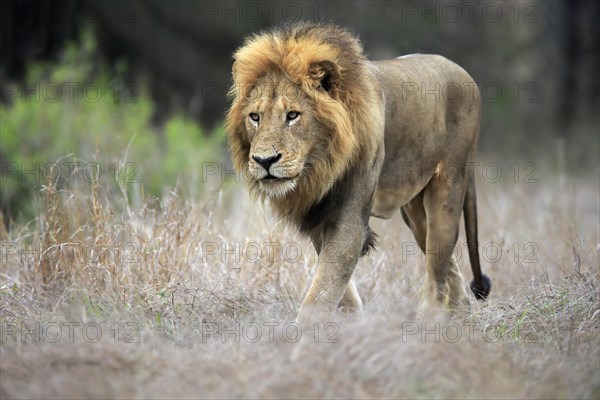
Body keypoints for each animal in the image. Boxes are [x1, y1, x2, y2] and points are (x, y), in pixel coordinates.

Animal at [227, 21, 490, 324]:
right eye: (255, 117)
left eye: (292, 115)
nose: (264, 160)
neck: (320, 168)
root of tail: (463, 72)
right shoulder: (319, 213)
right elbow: (335, 285)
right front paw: (351, 322)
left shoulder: (349, 216)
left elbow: (321, 290)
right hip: (414, 210)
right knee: (447, 263)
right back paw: (462, 317)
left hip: (448, 188)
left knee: (437, 267)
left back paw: (428, 324)